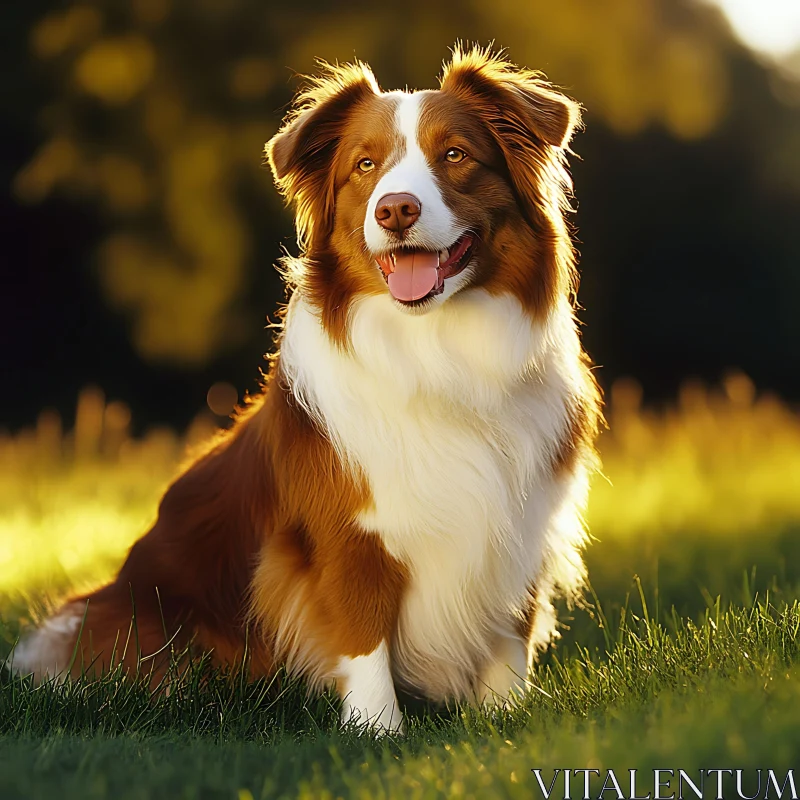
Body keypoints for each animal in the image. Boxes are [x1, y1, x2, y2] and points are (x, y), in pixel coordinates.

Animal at [12, 43, 600, 732]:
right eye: (365, 166)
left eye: (456, 154)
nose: (395, 209)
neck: (438, 348)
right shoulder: (346, 535)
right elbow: (362, 636)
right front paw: (377, 731)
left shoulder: (518, 526)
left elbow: (509, 634)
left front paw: (503, 722)